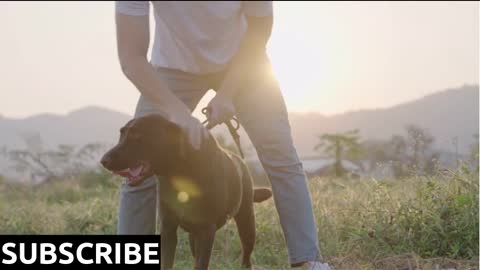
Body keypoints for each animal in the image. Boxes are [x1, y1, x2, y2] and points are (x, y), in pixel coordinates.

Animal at [99, 114, 272, 270]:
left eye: (137, 136)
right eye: (121, 134)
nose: (103, 161)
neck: (180, 173)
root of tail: (240, 161)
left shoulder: (206, 231)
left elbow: (201, 264)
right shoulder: (168, 228)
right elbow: (167, 263)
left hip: (246, 223)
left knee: (246, 254)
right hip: (193, 236)